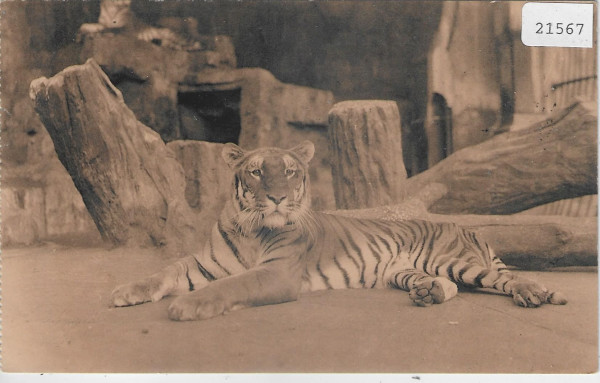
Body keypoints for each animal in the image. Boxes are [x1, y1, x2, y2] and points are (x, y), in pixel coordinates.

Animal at [112, 141, 568, 320]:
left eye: (290, 172)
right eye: (257, 172)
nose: (277, 198)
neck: (253, 229)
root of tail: (465, 228)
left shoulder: (277, 273)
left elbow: (232, 285)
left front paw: (188, 306)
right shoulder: (201, 264)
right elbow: (164, 272)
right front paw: (126, 291)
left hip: (452, 259)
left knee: (499, 279)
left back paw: (534, 293)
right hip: (404, 271)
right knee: (451, 286)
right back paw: (428, 293)